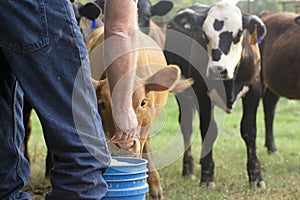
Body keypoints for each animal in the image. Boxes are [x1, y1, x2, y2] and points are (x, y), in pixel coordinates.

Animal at [164, 1, 268, 188]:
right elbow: (209, 130)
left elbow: (249, 131)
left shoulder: (254, 91)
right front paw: (207, 176)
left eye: (239, 34)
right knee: (187, 127)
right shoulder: (202, 94)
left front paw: (256, 177)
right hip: (182, 93)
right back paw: (188, 169)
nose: (217, 69)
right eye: (204, 34)